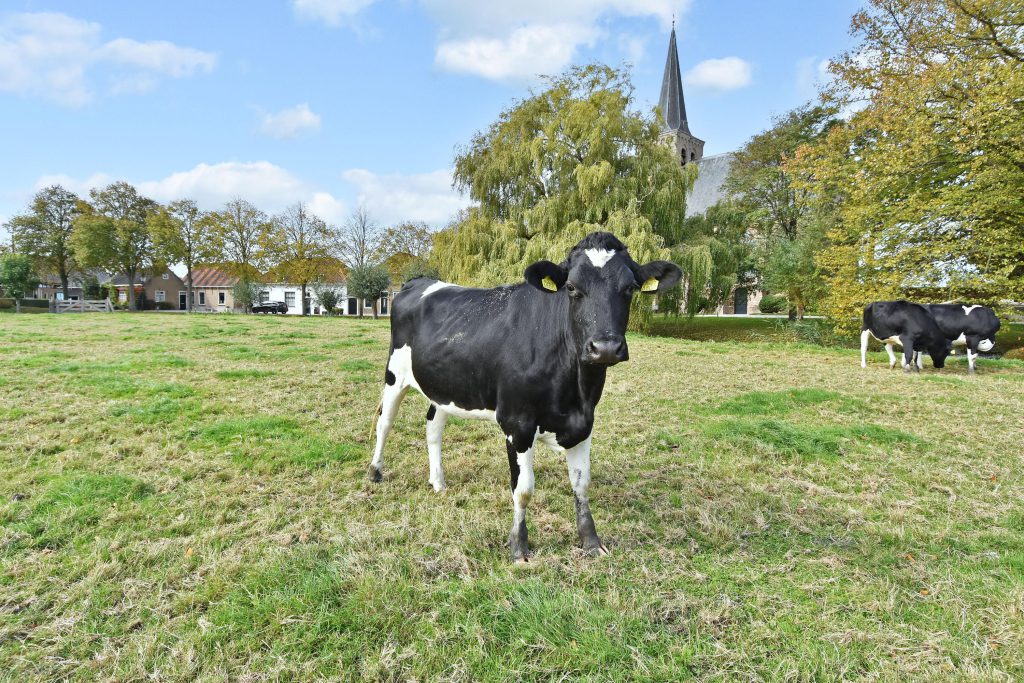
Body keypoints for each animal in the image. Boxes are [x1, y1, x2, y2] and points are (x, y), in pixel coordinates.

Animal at [368, 232, 681, 562]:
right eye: (571, 287)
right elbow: (524, 489)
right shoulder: (517, 424)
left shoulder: (584, 424)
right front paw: (519, 546)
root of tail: (418, 281)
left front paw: (591, 542)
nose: (605, 347)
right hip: (394, 374)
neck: (575, 392)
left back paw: (438, 482)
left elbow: (582, 484)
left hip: (445, 385)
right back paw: (375, 472)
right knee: (384, 422)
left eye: (631, 287)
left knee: (433, 426)